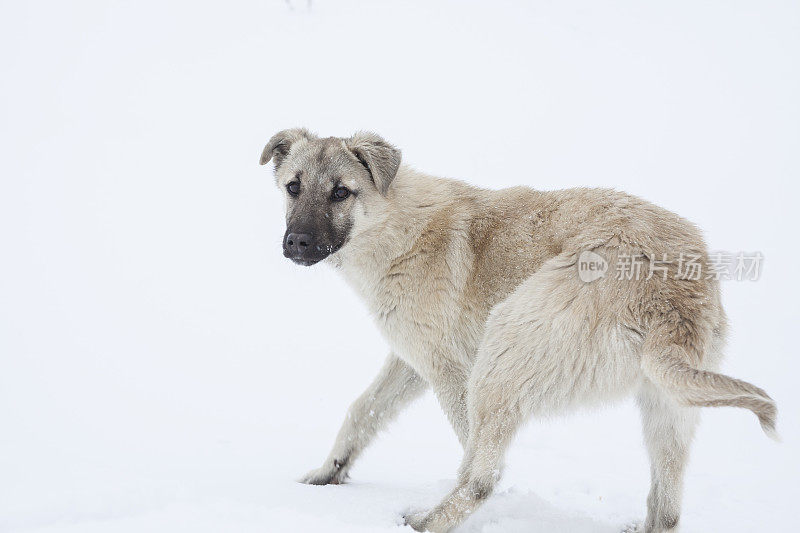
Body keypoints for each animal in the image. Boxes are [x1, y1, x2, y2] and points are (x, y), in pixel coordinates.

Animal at [260, 129, 776, 532]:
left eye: (341, 192)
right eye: (293, 186)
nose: (297, 243)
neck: (395, 226)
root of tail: (669, 294)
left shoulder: (448, 371)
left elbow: (466, 450)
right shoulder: (412, 361)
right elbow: (362, 411)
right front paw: (327, 473)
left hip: (502, 351)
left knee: (480, 479)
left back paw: (423, 522)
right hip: (667, 406)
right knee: (667, 511)